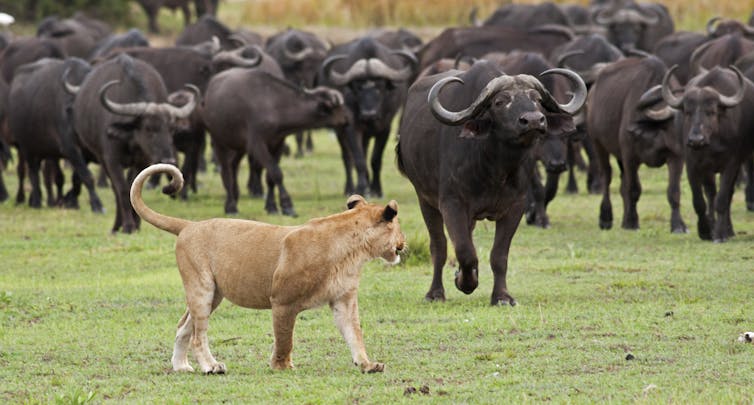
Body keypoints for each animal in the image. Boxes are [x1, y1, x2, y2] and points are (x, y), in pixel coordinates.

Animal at [396, 60, 584, 304]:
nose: (533, 120)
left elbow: (499, 255)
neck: (495, 168)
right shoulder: (451, 204)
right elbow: (464, 251)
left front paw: (502, 296)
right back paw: (435, 293)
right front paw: (465, 282)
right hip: (425, 200)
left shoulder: (515, 206)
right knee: (439, 246)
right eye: (500, 102)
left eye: (536, 98)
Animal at [656, 66, 752, 241]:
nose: (696, 140)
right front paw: (705, 231)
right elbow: (699, 201)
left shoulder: (732, 164)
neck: (711, 143)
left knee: (725, 196)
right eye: (688, 112)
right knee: (710, 194)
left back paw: (728, 230)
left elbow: (722, 200)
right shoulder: (693, 166)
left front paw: (720, 234)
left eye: (711, 112)